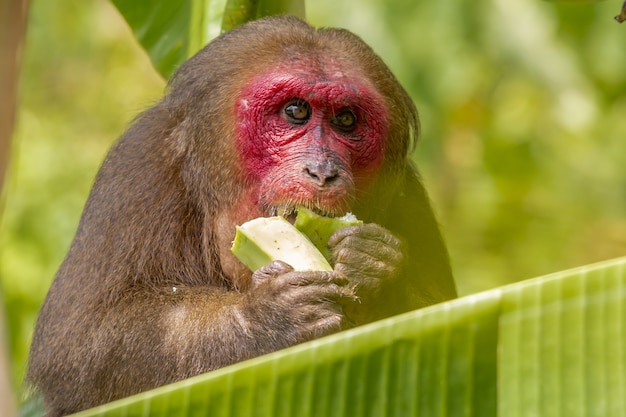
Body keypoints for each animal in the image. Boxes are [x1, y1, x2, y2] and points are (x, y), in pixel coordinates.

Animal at [25, 14, 454, 414]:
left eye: (346, 120)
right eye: (295, 111)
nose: (323, 170)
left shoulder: (408, 193)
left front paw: (376, 266)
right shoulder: (138, 162)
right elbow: (83, 341)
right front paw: (264, 317)